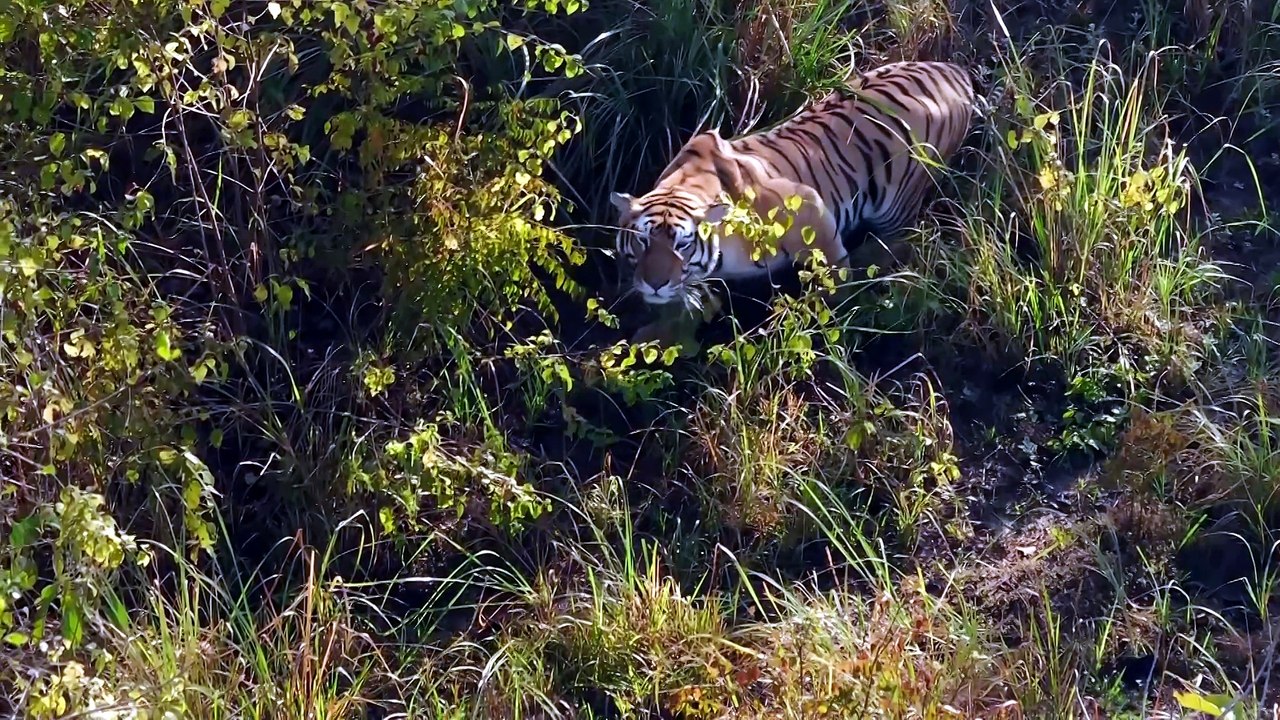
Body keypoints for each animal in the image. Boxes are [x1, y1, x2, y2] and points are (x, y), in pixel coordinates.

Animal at [609, 60, 977, 345]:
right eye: (643, 242)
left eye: (682, 245)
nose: (655, 285)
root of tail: (956, 71)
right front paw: (655, 336)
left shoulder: (810, 209)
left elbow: (831, 280)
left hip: (898, 198)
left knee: (899, 241)